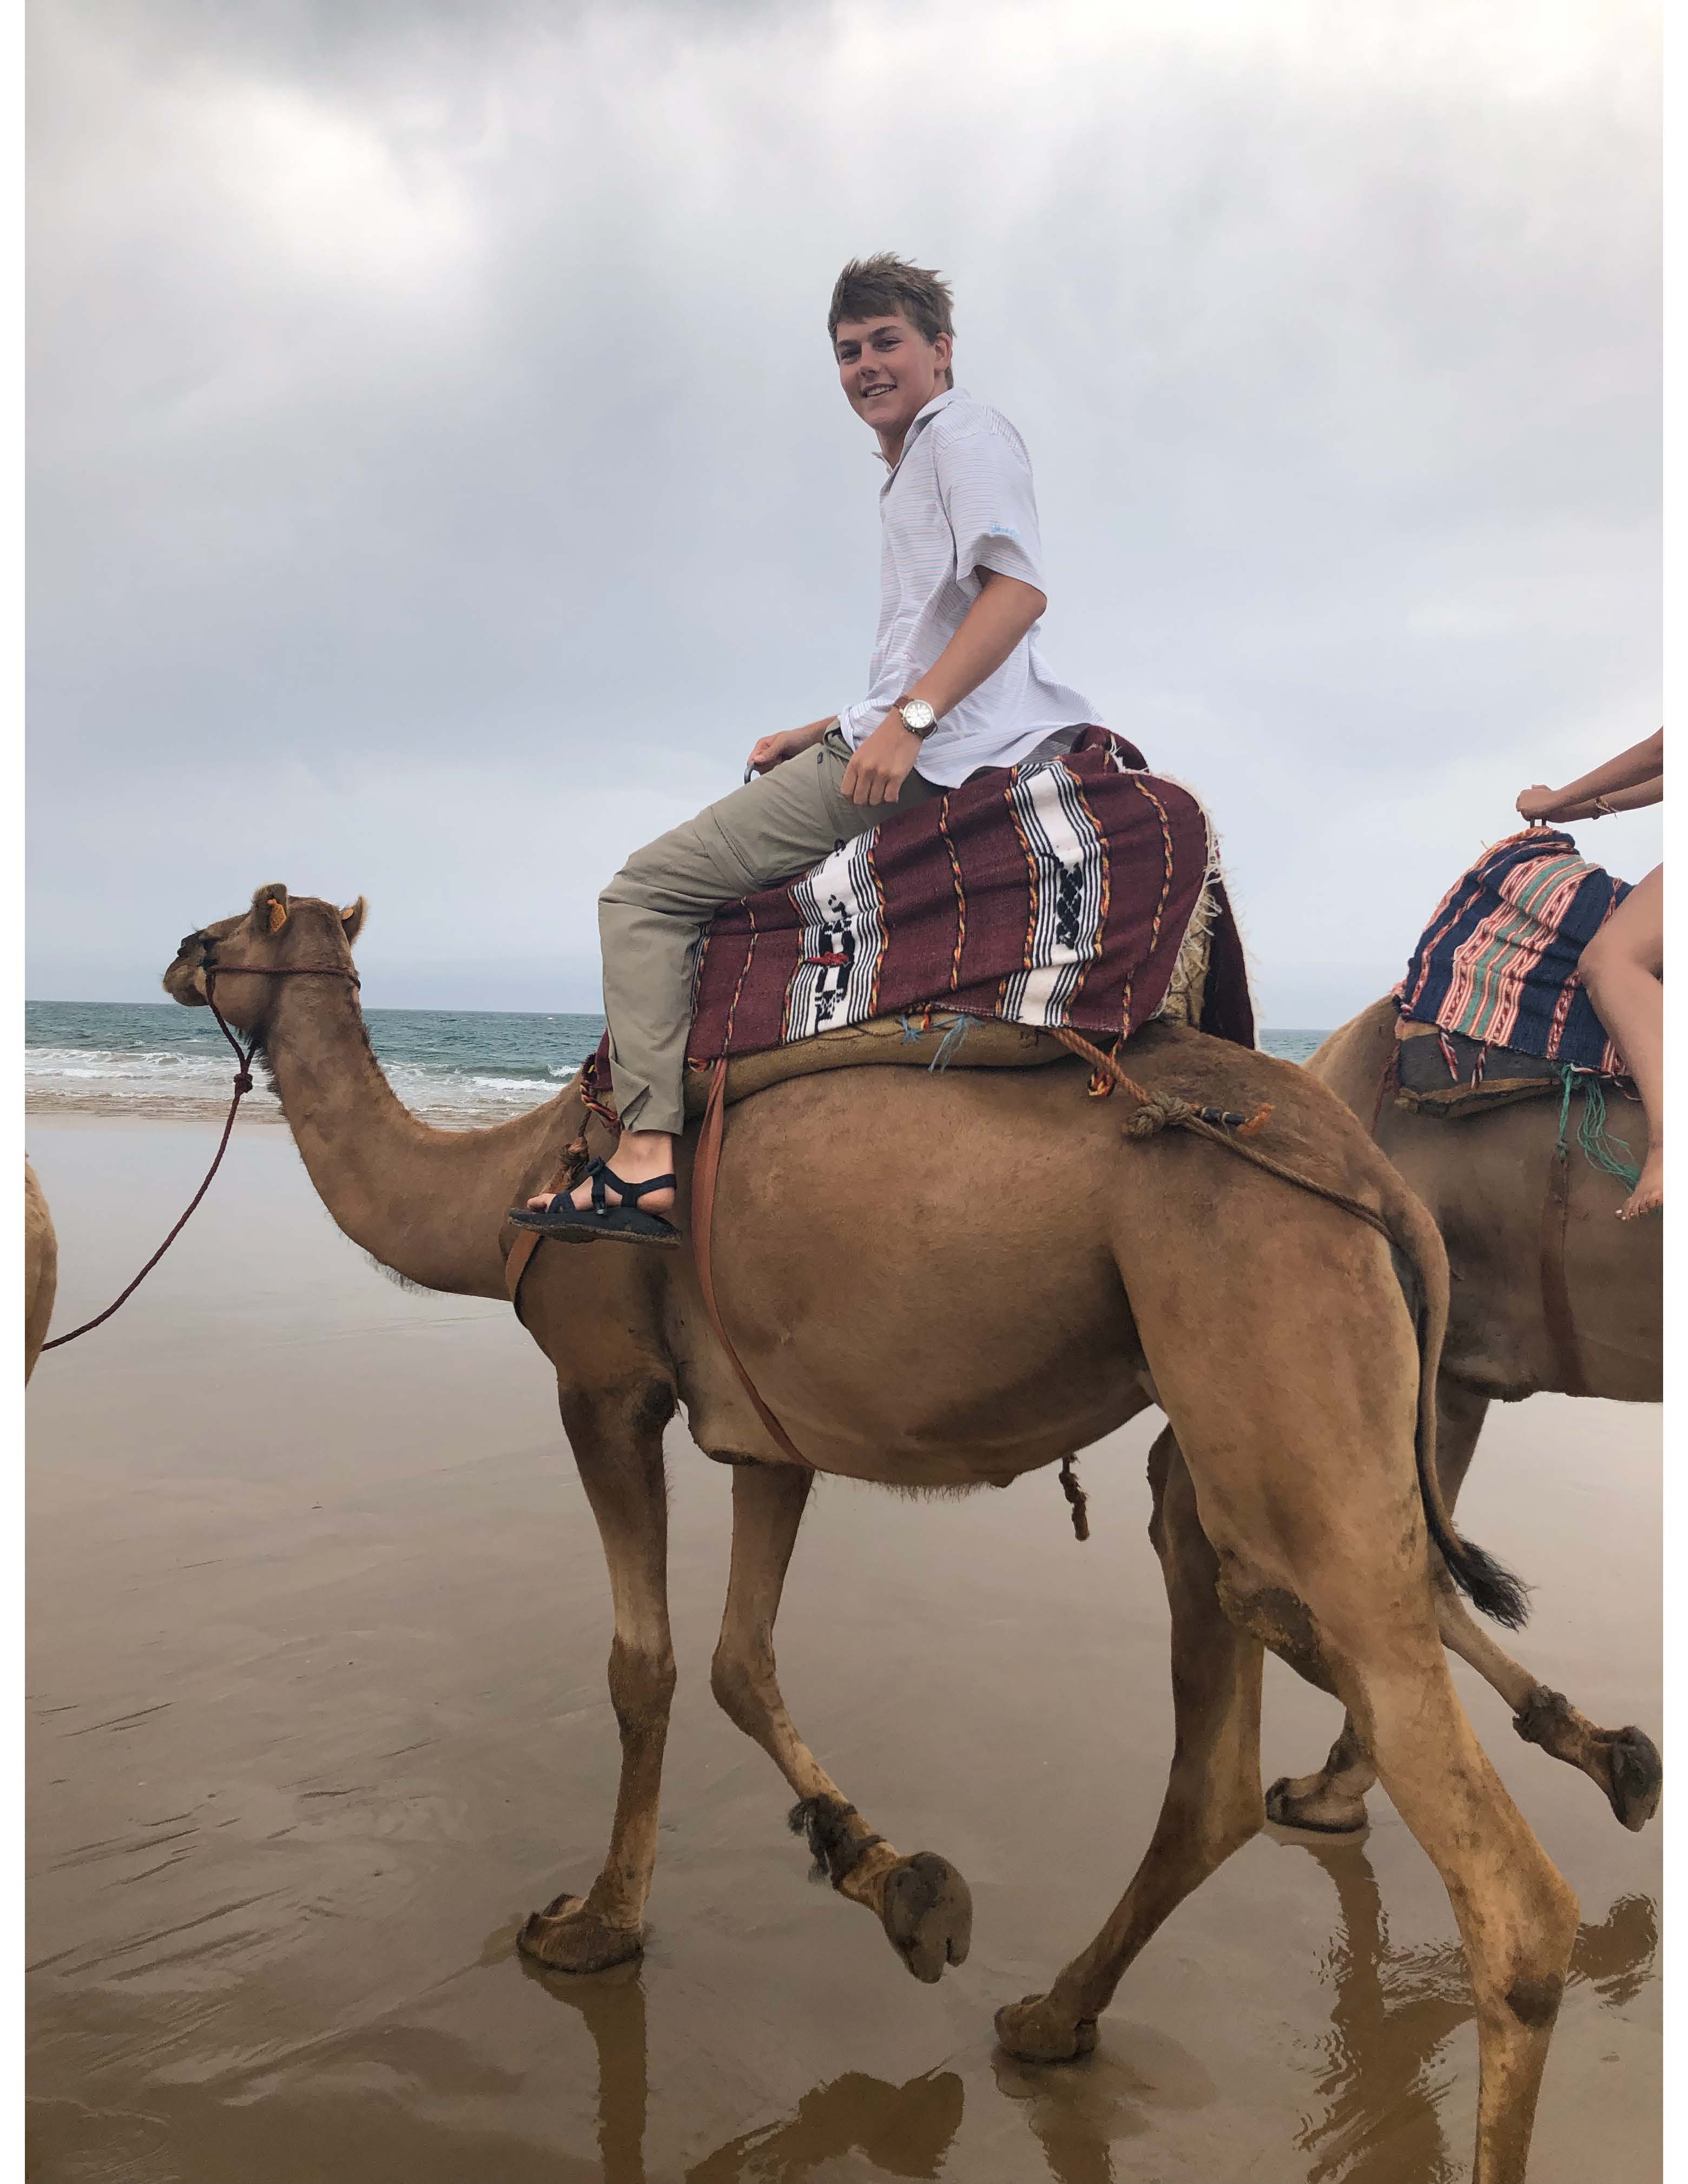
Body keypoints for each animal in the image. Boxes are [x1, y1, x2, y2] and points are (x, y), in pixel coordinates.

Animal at [162, 887, 1581, 2184]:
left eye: (242, 918)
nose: (176, 957)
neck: (501, 1190)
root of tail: (1375, 1180)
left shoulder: (603, 1379)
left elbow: (644, 1664)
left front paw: (593, 1923)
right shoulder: (767, 1433)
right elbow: (740, 1659)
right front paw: (894, 1881)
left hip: (1269, 1337)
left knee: (1494, 1872)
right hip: (1222, 1437)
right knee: (1227, 1737)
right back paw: (1051, 2014)